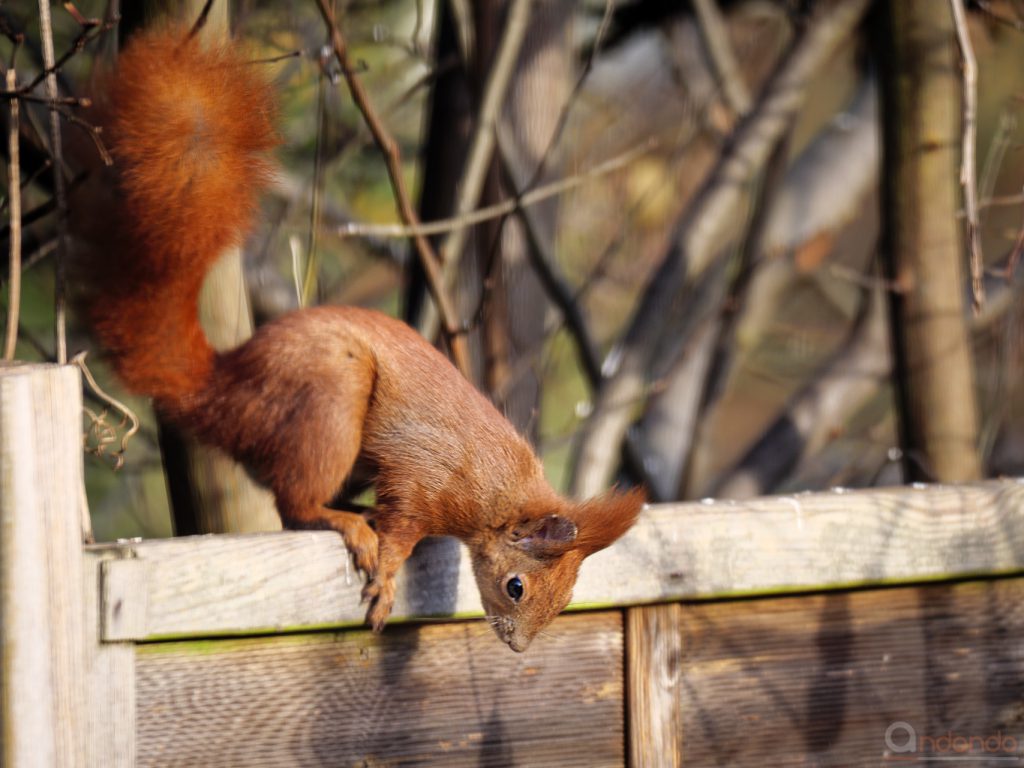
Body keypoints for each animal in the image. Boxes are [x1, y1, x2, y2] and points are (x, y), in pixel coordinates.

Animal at [75, 25, 643, 651]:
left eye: (565, 600)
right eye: (516, 586)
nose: (517, 646)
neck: (495, 490)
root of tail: (221, 390)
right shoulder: (421, 475)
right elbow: (400, 531)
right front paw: (388, 579)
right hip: (327, 402)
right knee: (295, 504)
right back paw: (348, 521)